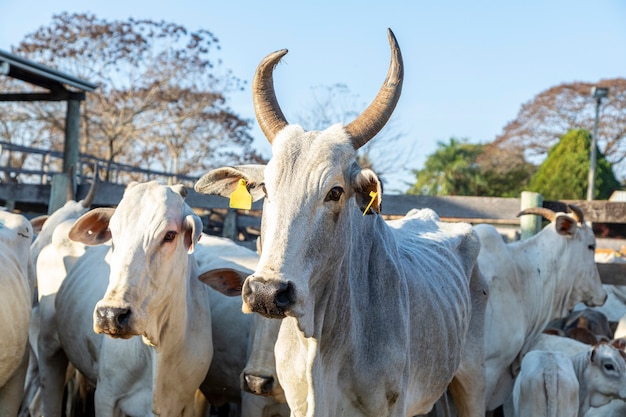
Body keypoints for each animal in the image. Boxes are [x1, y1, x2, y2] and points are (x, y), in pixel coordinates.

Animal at [40, 183, 241, 416]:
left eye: (170, 235)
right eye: (113, 234)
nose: (110, 315)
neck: (159, 345)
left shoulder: (186, 402)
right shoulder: (106, 396)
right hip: (47, 350)